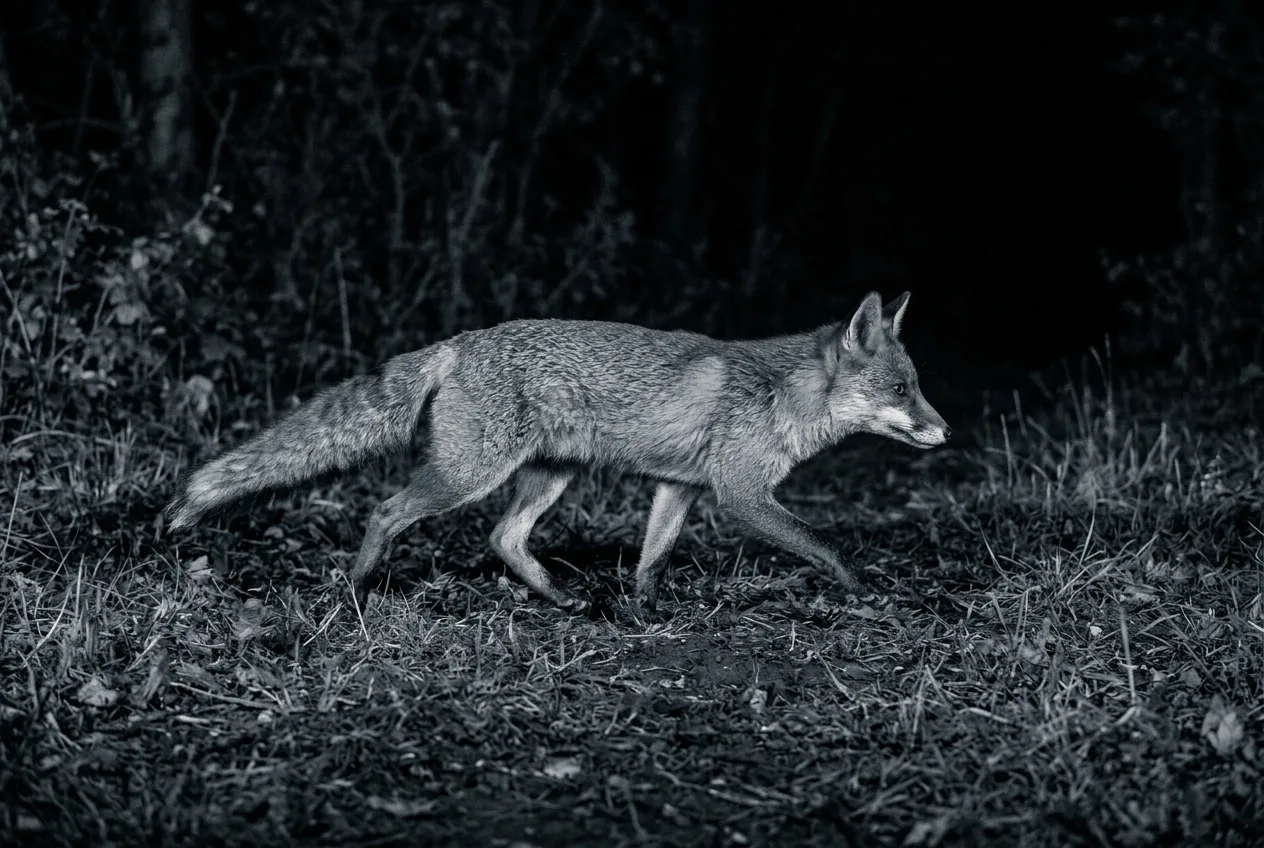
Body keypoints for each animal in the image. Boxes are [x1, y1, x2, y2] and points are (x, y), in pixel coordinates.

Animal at [164, 291, 951, 613]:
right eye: (902, 388)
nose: (946, 432)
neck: (782, 394)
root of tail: (462, 341)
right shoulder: (741, 494)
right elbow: (825, 544)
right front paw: (864, 592)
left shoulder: (681, 487)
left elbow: (652, 558)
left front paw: (643, 609)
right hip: (470, 473)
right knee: (388, 511)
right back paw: (358, 589)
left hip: (547, 477)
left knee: (503, 538)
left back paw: (560, 598)